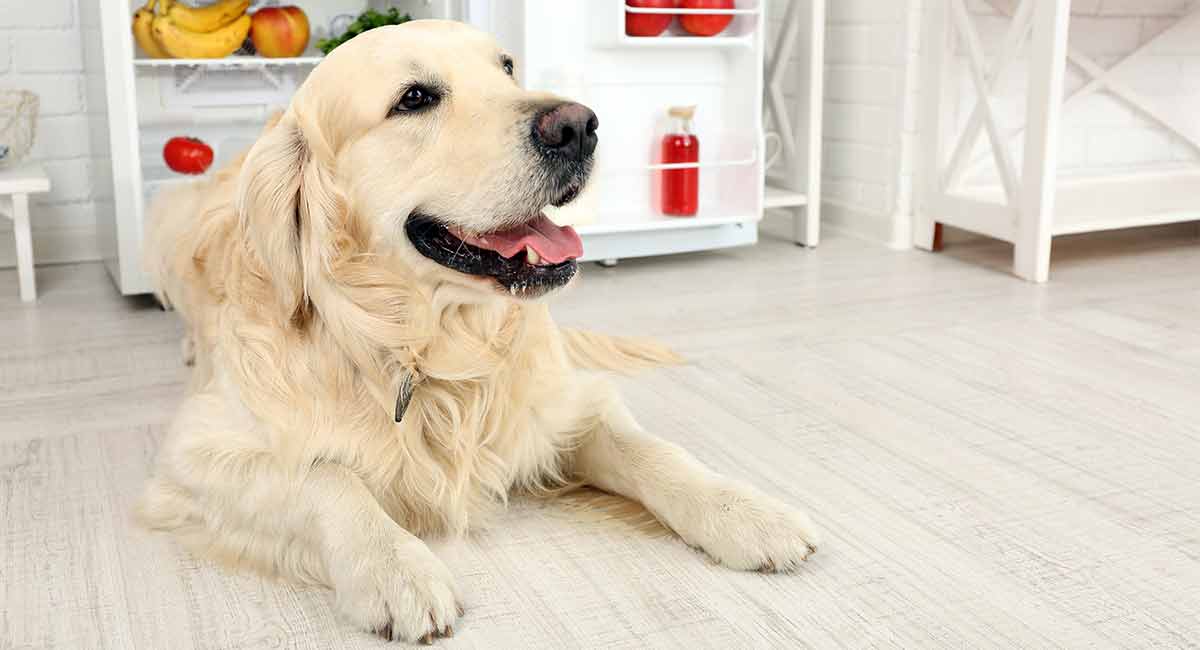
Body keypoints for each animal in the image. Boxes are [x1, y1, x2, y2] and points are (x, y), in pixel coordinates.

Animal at [136, 21, 820, 647]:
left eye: (508, 68)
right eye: (413, 98)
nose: (578, 126)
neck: (433, 349)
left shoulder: (564, 408)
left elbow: (653, 451)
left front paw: (745, 512)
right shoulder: (192, 454)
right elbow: (323, 476)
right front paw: (394, 568)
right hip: (167, 210)